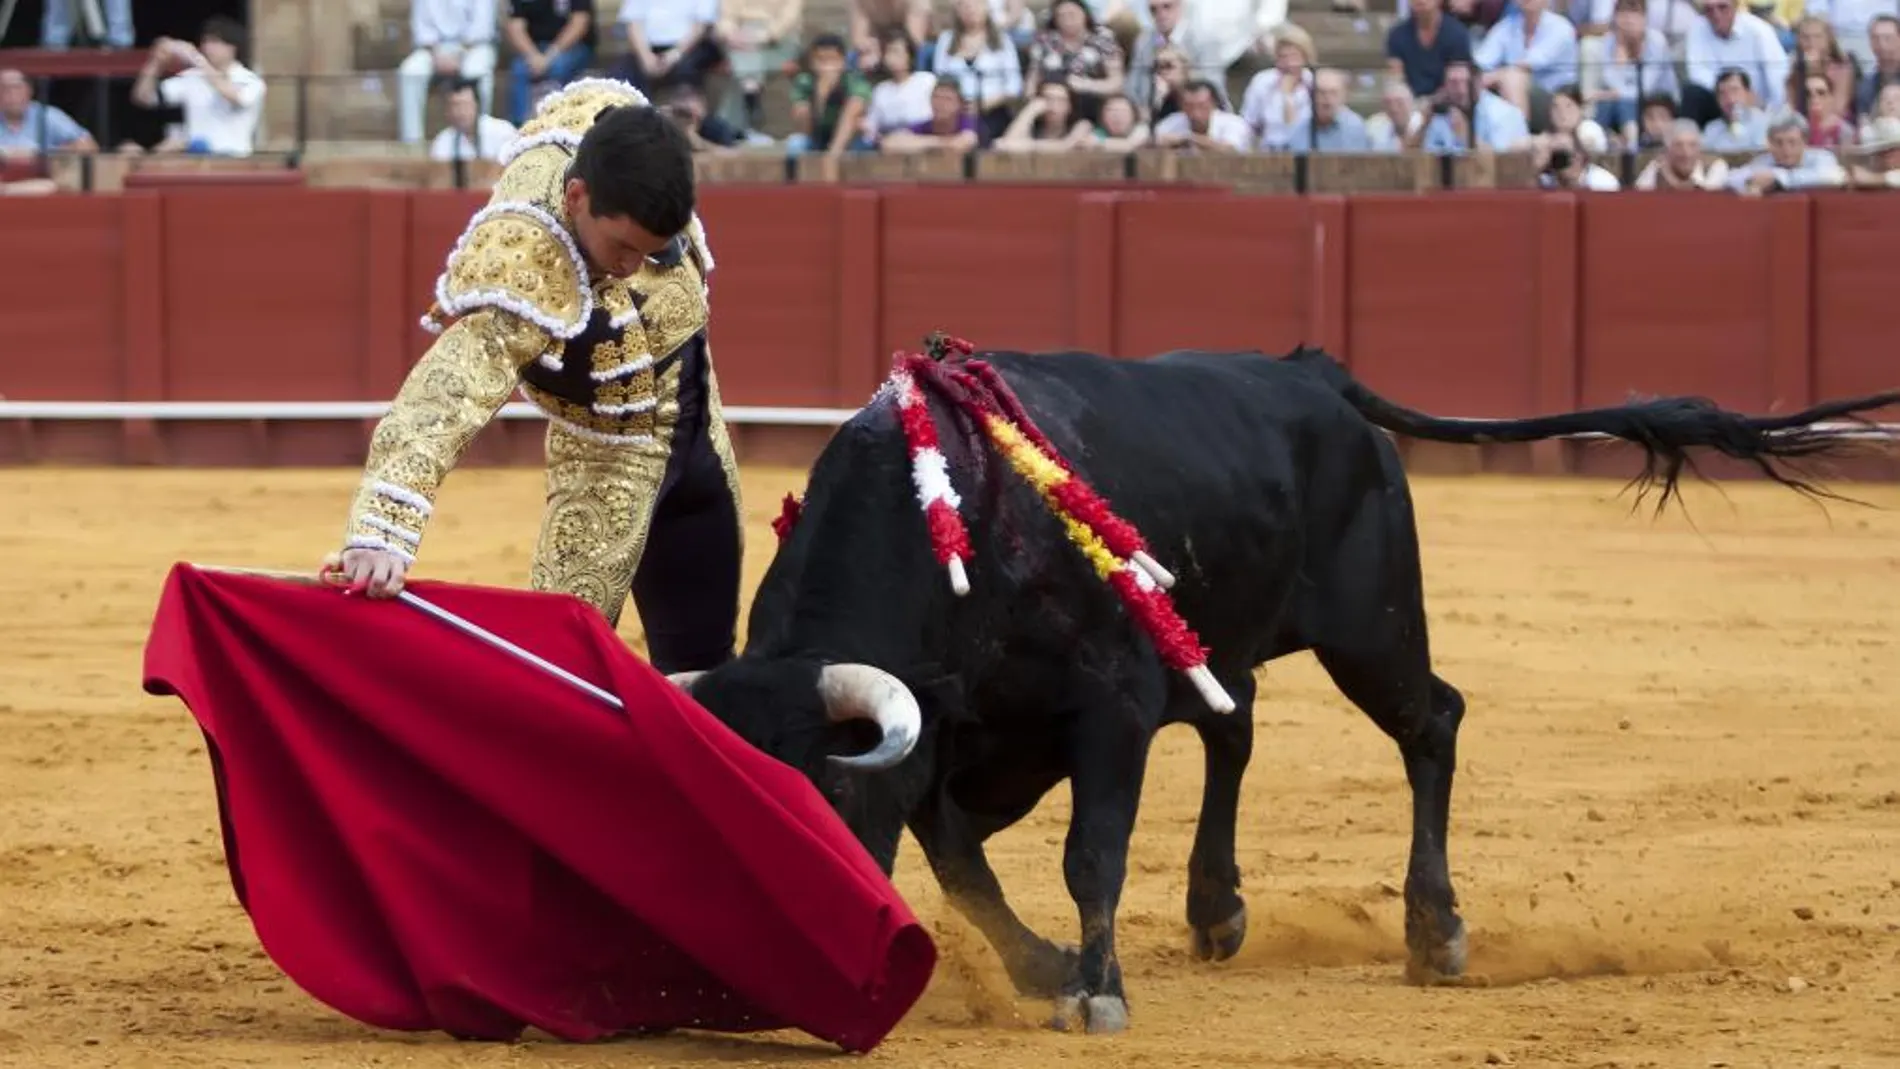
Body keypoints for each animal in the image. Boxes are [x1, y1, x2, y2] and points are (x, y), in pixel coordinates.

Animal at [676, 349, 1892, 1040]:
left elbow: (1088, 854)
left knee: (1431, 721)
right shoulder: (949, 743)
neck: (958, 514)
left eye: (821, 801)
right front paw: (1048, 966)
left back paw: (1433, 932)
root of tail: (1311, 374)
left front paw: (1095, 989)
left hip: (1372, 628)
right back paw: (1217, 908)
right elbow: (968, 869)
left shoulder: (1108, 710)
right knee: (1240, 724)